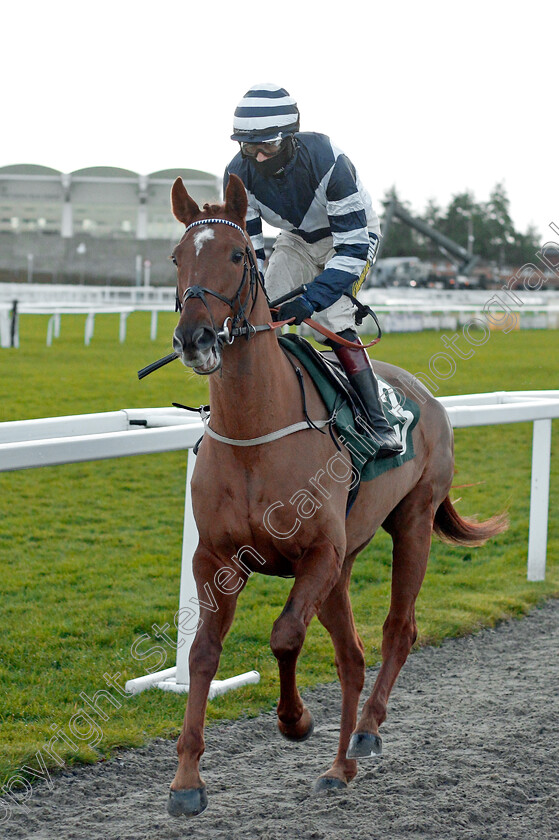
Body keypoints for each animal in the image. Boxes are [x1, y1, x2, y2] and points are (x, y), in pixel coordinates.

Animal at [166, 174, 508, 816]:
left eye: (238, 255)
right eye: (176, 256)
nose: (195, 338)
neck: (255, 435)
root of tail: (426, 395)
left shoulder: (318, 554)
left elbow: (283, 635)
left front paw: (295, 720)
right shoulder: (216, 559)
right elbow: (203, 652)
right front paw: (186, 782)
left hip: (412, 523)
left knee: (398, 630)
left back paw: (366, 732)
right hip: (345, 566)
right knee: (351, 655)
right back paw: (339, 764)